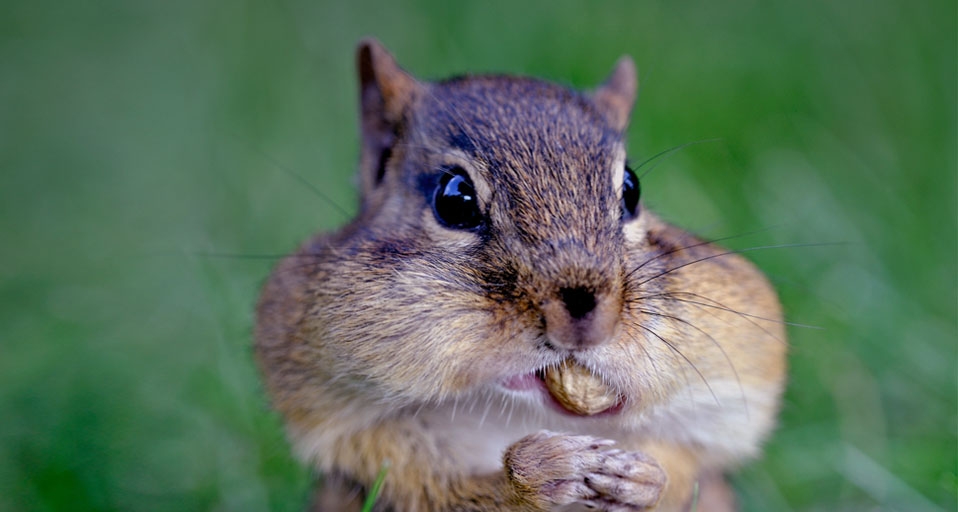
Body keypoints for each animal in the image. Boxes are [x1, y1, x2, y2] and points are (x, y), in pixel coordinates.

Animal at [255, 39, 787, 512]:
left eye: (632, 189)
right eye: (454, 199)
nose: (583, 314)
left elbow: (682, 472)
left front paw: (643, 478)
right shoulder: (375, 453)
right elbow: (444, 494)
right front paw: (541, 472)